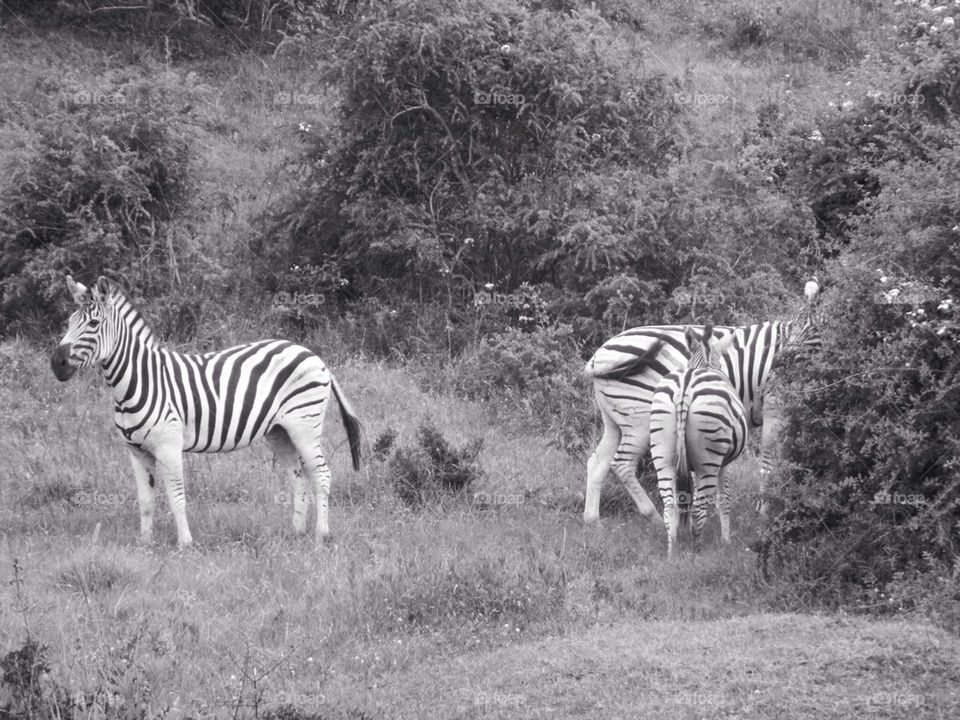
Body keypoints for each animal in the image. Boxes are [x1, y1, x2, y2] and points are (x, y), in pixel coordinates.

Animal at [51, 275, 362, 547]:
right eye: (69, 322)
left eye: (93, 323)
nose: (57, 364)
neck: (139, 381)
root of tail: (312, 354)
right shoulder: (135, 451)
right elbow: (146, 500)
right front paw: (145, 543)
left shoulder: (168, 446)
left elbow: (176, 497)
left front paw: (185, 544)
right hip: (279, 431)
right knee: (298, 478)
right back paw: (295, 532)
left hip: (305, 425)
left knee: (322, 475)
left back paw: (321, 535)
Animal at [582, 281, 821, 524]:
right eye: (796, 330)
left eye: (811, 330)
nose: (780, 363)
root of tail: (598, 357)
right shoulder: (774, 406)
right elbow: (768, 462)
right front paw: (763, 511)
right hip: (640, 417)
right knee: (622, 464)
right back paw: (655, 517)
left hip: (616, 419)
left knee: (597, 462)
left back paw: (593, 521)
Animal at [650, 323, 748, 557]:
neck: (706, 364)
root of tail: (685, 387)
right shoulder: (725, 464)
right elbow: (724, 499)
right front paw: (726, 541)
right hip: (709, 460)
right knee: (698, 510)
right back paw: (697, 554)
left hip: (662, 454)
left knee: (670, 508)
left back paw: (671, 554)